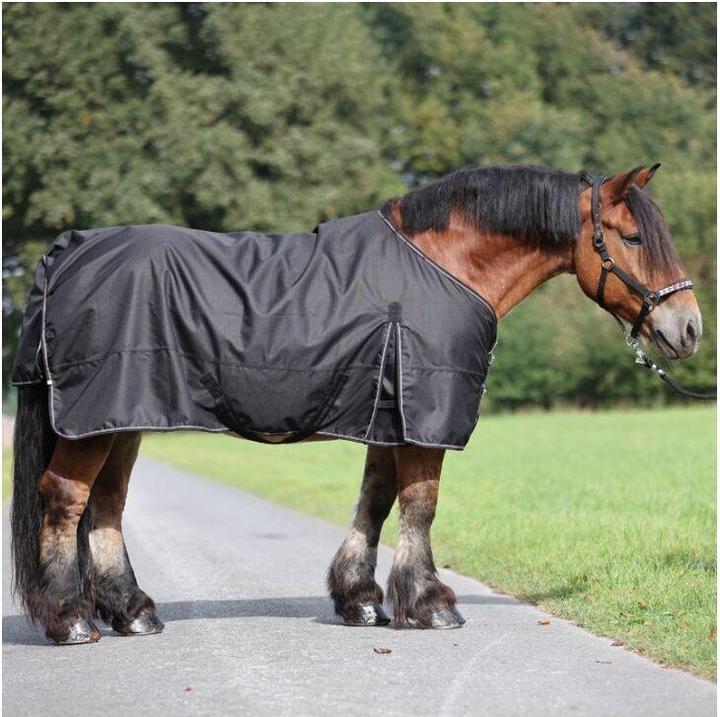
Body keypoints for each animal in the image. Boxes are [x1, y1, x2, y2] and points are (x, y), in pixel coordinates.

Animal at [10, 164, 704, 644]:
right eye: (633, 237)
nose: (689, 328)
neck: (445, 266)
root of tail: (69, 252)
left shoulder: (386, 416)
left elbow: (376, 500)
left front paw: (361, 600)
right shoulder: (424, 418)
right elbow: (420, 505)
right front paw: (430, 603)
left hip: (123, 417)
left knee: (106, 504)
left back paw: (133, 612)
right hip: (95, 420)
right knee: (66, 499)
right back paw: (72, 619)